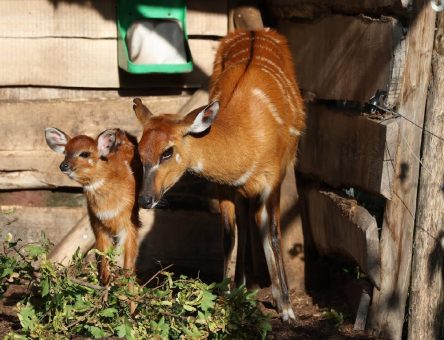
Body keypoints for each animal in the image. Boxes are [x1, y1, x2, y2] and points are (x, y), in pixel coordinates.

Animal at [133, 28, 306, 322]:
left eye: (167, 152)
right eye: (140, 153)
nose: (145, 200)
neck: (245, 134)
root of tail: (255, 30)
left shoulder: (272, 182)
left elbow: (272, 234)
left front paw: (287, 309)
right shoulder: (225, 187)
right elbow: (228, 236)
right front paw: (226, 296)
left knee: (262, 227)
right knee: (244, 225)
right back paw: (241, 289)